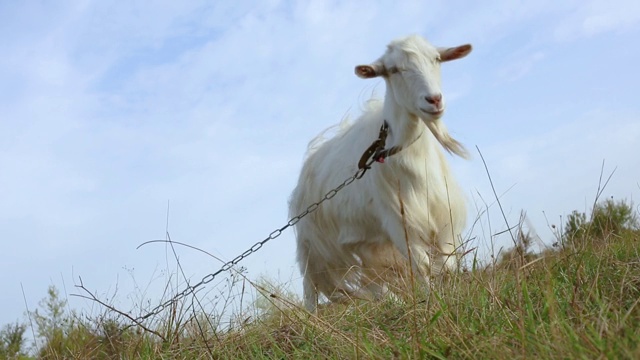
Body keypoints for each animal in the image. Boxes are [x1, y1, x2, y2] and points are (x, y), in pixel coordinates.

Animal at [288, 34, 470, 312]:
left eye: (437, 59)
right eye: (393, 69)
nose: (434, 100)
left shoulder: (443, 215)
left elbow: (446, 264)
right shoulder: (399, 221)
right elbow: (422, 266)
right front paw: (434, 305)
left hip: (362, 240)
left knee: (373, 281)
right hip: (313, 243)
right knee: (311, 285)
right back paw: (313, 318)